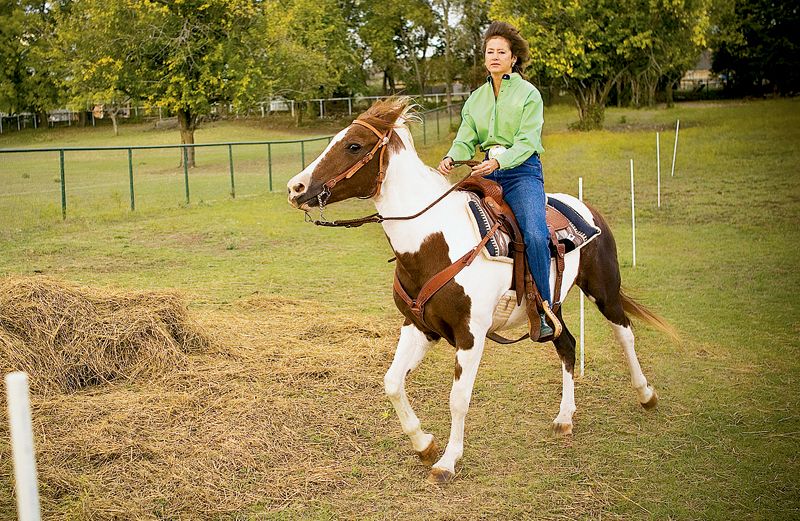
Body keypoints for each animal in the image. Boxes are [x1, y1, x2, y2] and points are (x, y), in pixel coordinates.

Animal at [288, 98, 676, 484]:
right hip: (553, 307)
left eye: (353, 145)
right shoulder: (419, 327)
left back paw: (646, 394)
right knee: (566, 344)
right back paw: (565, 418)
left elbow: (458, 398)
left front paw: (447, 461)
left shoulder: (470, 334)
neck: (433, 241)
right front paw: (424, 443)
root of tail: (584, 206)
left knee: (624, 333)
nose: (296, 187)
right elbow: (392, 382)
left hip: (603, 290)